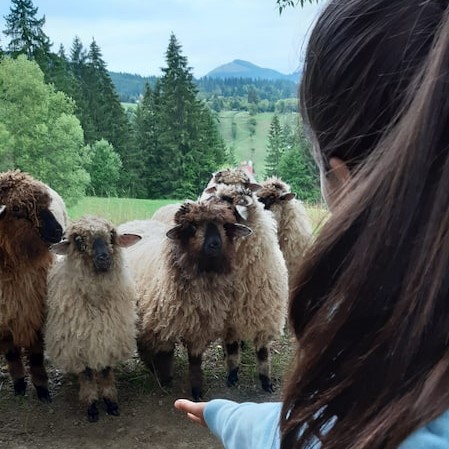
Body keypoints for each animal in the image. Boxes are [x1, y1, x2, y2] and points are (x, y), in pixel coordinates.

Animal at [0, 168, 65, 400]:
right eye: (16, 208)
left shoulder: (35, 311)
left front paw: (42, 389)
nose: (59, 232)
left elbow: (36, 356)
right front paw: (19, 384)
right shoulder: (4, 320)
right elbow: (11, 354)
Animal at [44, 215, 140, 422]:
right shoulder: (79, 346)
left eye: (111, 236)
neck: (96, 299)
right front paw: (92, 406)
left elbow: (105, 373)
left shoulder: (108, 341)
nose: (104, 257)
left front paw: (111, 402)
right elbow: (87, 376)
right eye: (79, 241)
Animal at [120, 200, 252, 400]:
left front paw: (197, 390)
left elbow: (195, 361)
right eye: (192, 227)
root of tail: (135, 221)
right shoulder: (163, 325)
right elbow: (166, 353)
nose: (215, 244)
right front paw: (165, 379)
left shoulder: (200, 327)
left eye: (225, 227)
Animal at [202, 182, 288, 392]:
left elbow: (263, 354)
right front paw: (232, 376)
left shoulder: (266, 318)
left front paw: (266, 382)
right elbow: (233, 351)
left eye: (228, 204)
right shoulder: (229, 321)